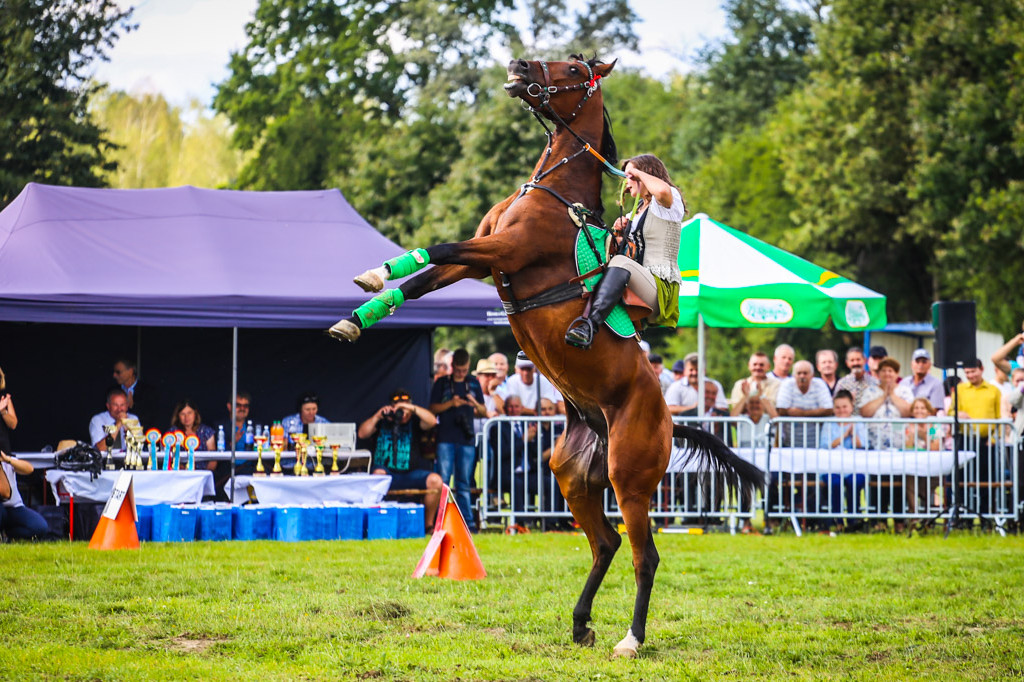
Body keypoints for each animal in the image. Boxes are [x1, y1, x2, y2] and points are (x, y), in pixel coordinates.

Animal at [331, 53, 765, 655]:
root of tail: (667, 420)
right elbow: (423, 276)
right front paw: (359, 311)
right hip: (573, 475)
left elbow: (440, 247)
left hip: (630, 477)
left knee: (644, 555)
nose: (517, 65)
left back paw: (631, 639)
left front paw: (372, 277)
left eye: (577, 68)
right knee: (605, 543)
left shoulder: (504, 250)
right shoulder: (480, 259)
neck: (552, 190)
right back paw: (581, 622)